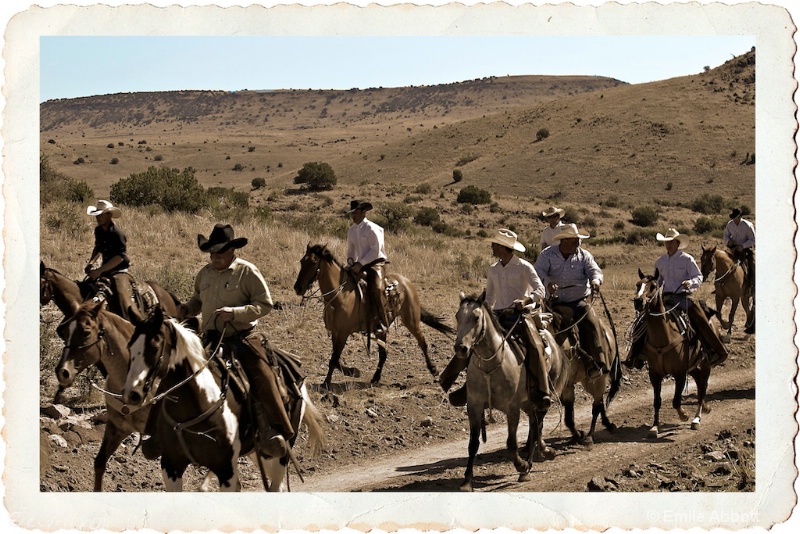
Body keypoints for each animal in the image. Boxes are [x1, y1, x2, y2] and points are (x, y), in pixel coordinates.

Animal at [120, 306, 324, 494]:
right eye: (129, 347)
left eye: (154, 348)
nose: (132, 394)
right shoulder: (171, 466)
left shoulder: (226, 469)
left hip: (284, 450)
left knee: (276, 485)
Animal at [294, 245, 456, 392]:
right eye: (302, 261)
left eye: (314, 261)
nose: (298, 288)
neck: (341, 296)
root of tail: (406, 282)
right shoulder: (335, 332)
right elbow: (336, 358)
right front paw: (352, 371)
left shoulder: (343, 333)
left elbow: (334, 358)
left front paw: (326, 383)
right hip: (381, 330)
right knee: (383, 354)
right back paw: (375, 378)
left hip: (411, 320)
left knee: (422, 342)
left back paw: (433, 369)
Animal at [636, 272, 712, 440]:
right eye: (638, 285)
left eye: (653, 286)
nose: (638, 301)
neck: (663, 337)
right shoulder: (654, 374)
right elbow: (657, 401)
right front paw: (654, 427)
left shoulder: (680, 373)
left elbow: (676, 400)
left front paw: (684, 415)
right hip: (692, 366)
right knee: (699, 381)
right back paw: (704, 408)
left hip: (705, 363)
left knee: (703, 385)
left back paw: (696, 418)